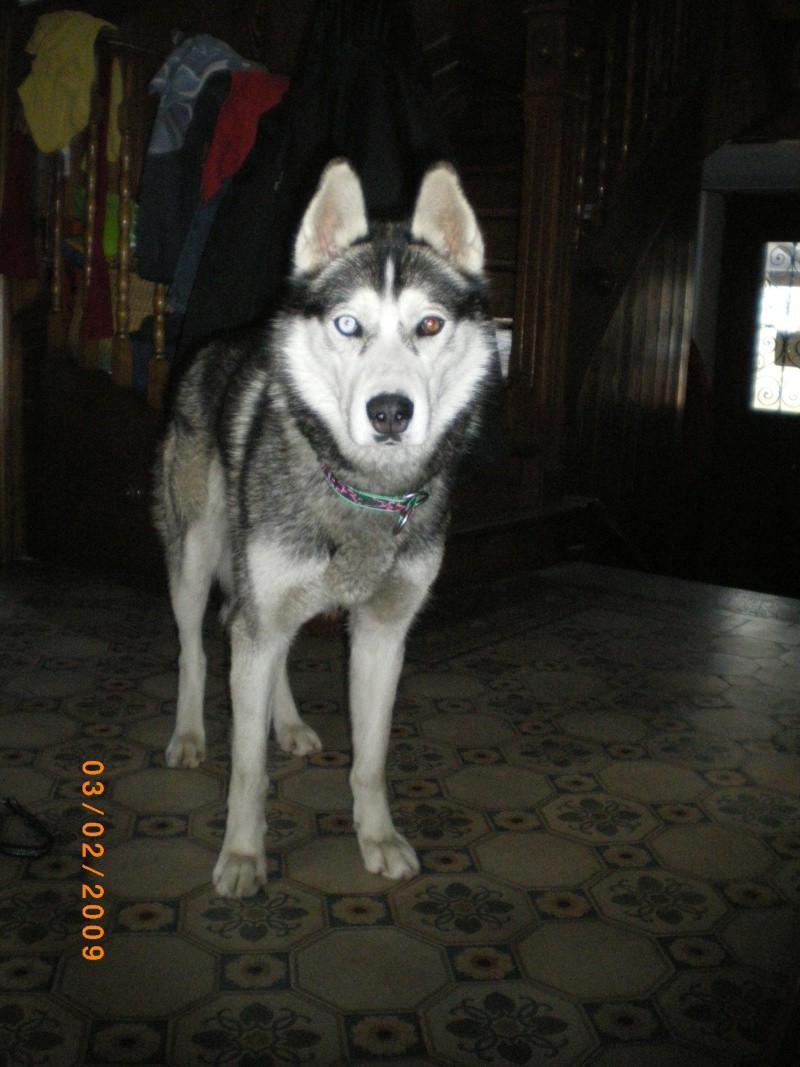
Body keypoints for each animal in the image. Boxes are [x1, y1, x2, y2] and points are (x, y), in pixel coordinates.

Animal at [154, 157, 501, 896]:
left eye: (429, 326)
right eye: (348, 325)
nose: (390, 411)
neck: (363, 489)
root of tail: (216, 343)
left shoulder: (383, 634)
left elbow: (369, 760)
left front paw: (378, 839)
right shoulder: (259, 612)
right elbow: (247, 770)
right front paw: (242, 855)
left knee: (266, 646)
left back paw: (286, 723)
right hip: (196, 558)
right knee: (198, 647)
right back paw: (191, 736)